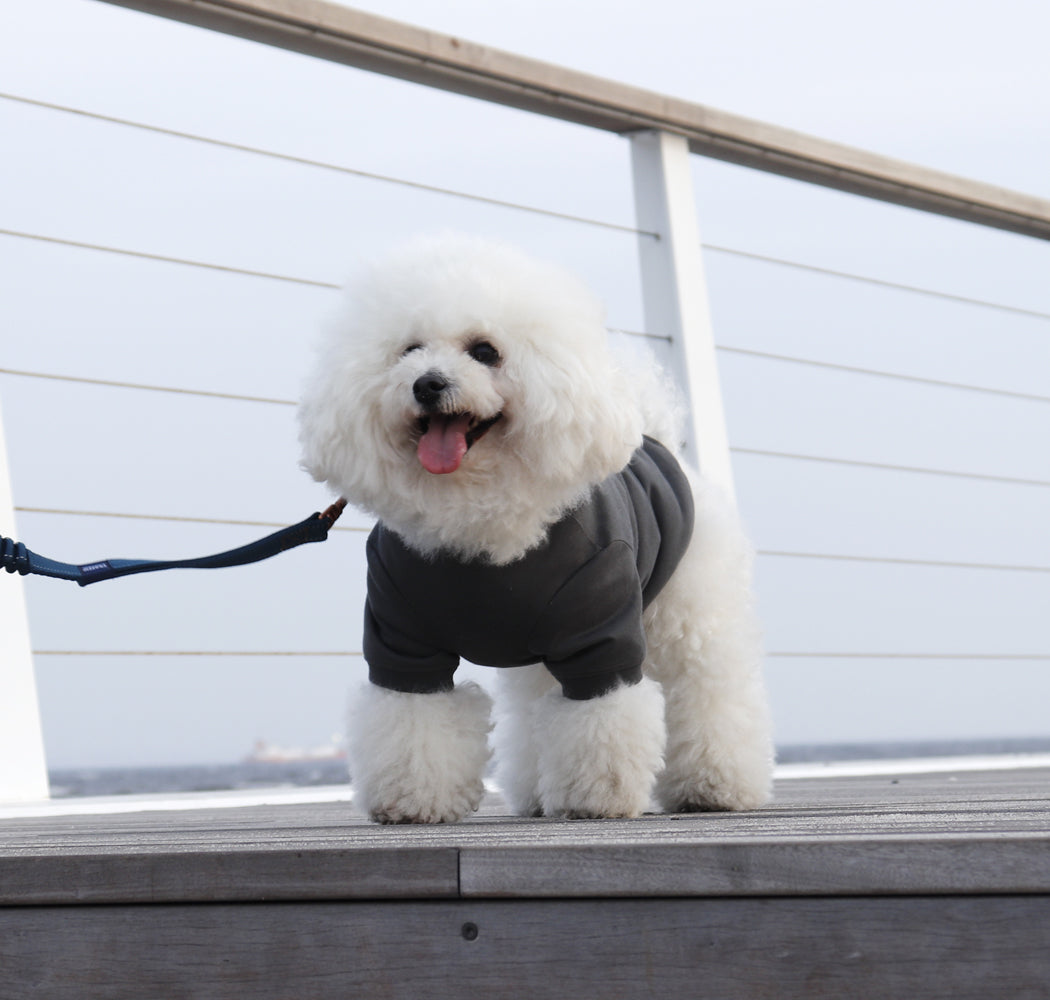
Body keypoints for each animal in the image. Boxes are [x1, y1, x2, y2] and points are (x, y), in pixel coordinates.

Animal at [296, 234, 772, 819]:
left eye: (484, 352)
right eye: (408, 351)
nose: (427, 384)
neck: (474, 512)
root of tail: (653, 435)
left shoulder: (600, 631)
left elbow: (603, 718)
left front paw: (597, 797)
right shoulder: (402, 639)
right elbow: (412, 722)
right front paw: (411, 800)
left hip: (694, 611)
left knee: (709, 689)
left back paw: (716, 785)